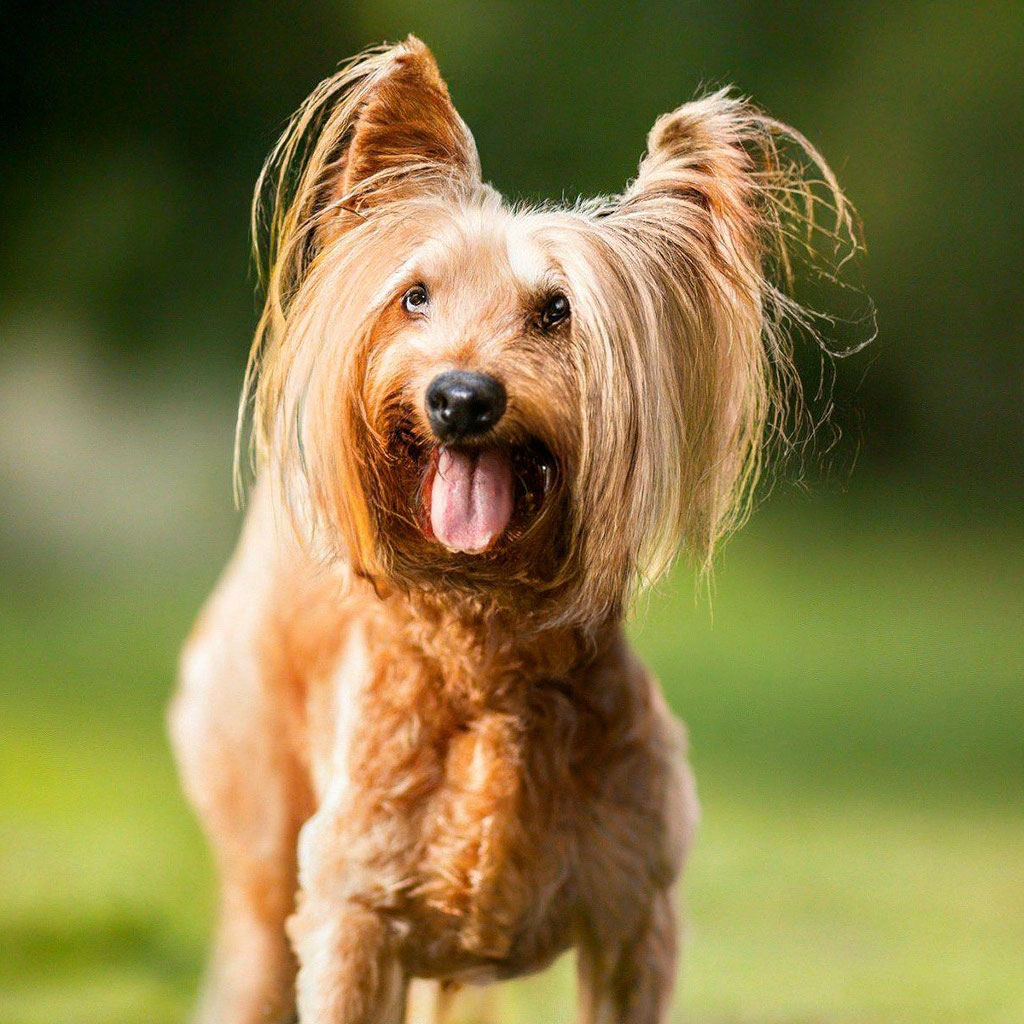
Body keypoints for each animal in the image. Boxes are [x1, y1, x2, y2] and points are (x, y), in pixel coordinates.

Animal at [169, 34, 856, 1024]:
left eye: (557, 311)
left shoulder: (634, 923)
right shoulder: (349, 922)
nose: (460, 396)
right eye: (415, 297)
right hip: (264, 853)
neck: (486, 656)